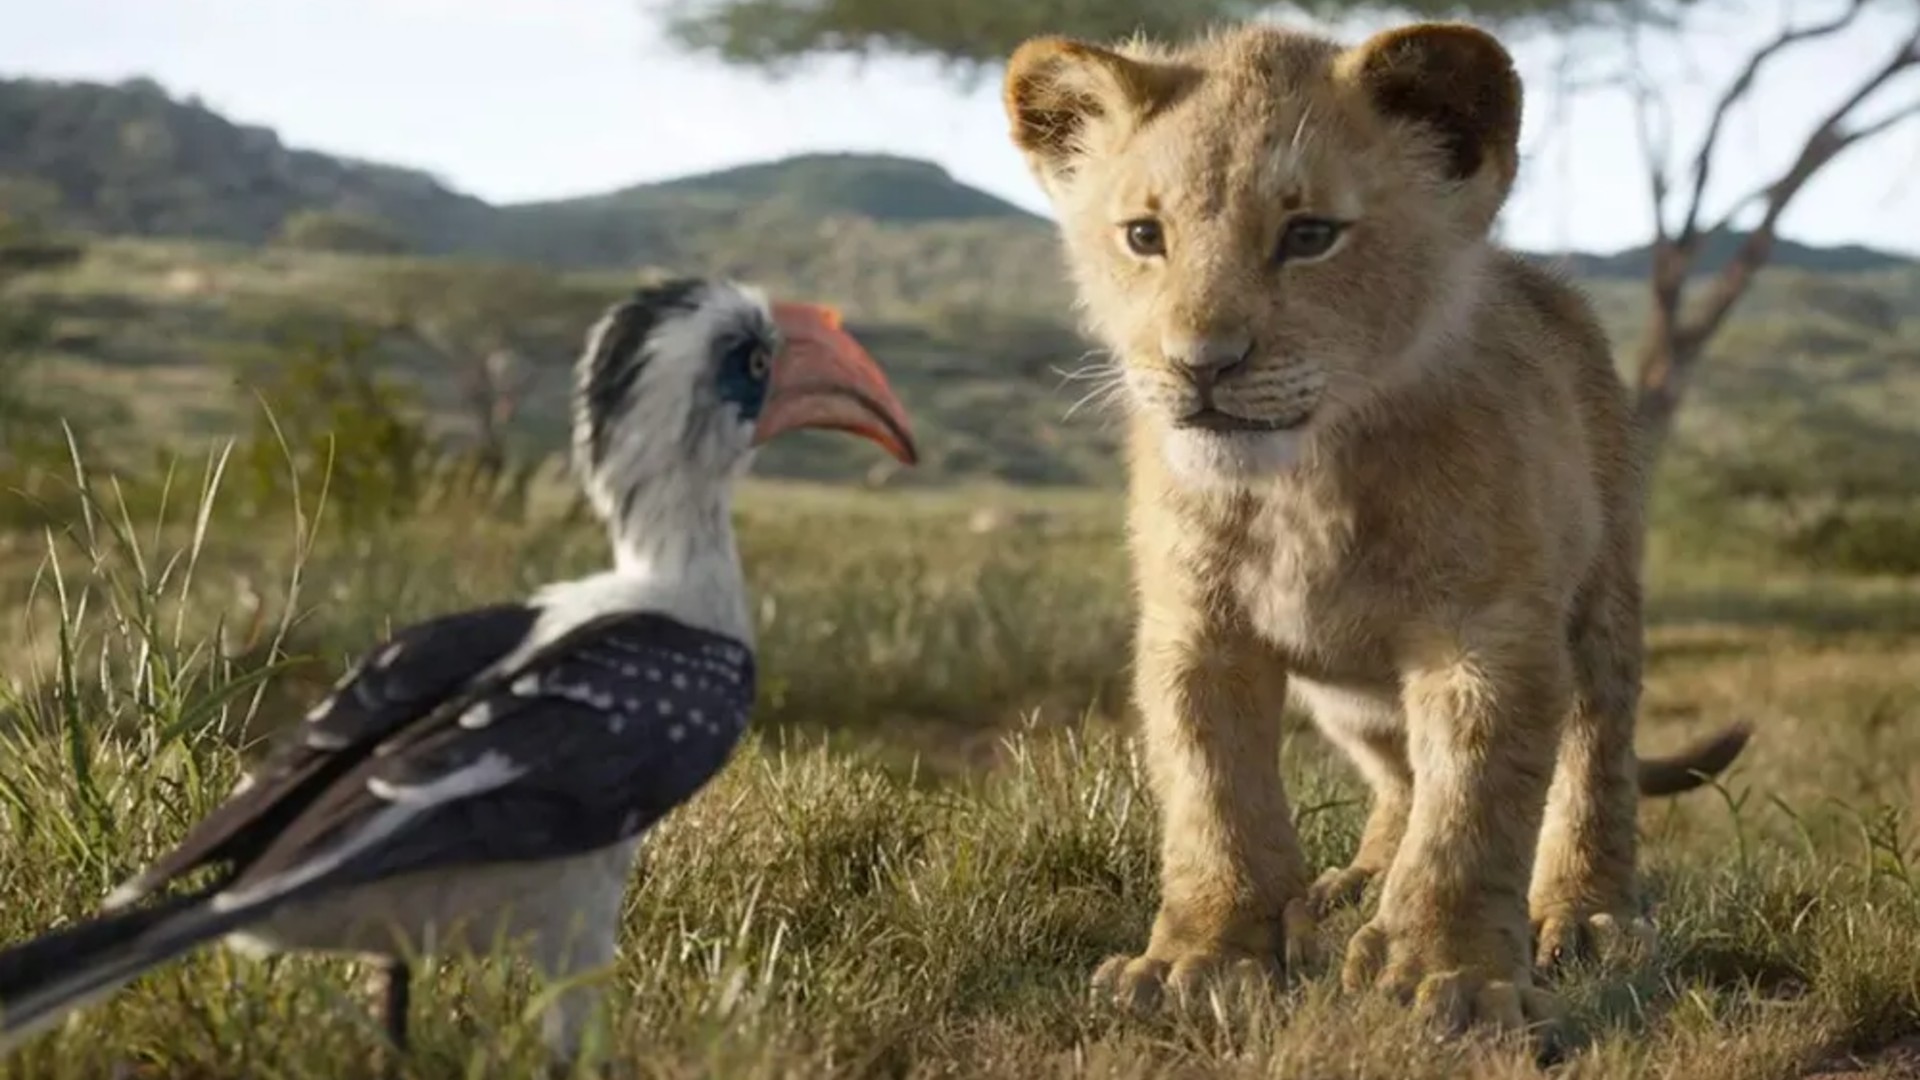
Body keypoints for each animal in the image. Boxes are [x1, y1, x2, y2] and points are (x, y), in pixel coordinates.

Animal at [1000, 20, 1749, 1029]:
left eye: (1310, 235)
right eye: (1145, 236)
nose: (1202, 364)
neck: (1302, 485)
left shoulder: (1487, 635)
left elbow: (1473, 810)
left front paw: (1452, 976)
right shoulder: (1196, 632)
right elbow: (1213, 798)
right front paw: (1200, 960)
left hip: (1603, 599)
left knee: (1596, 755)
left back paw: (1586, 914)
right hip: (1348, 696)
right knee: (1399, 776)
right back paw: (1352, 885)